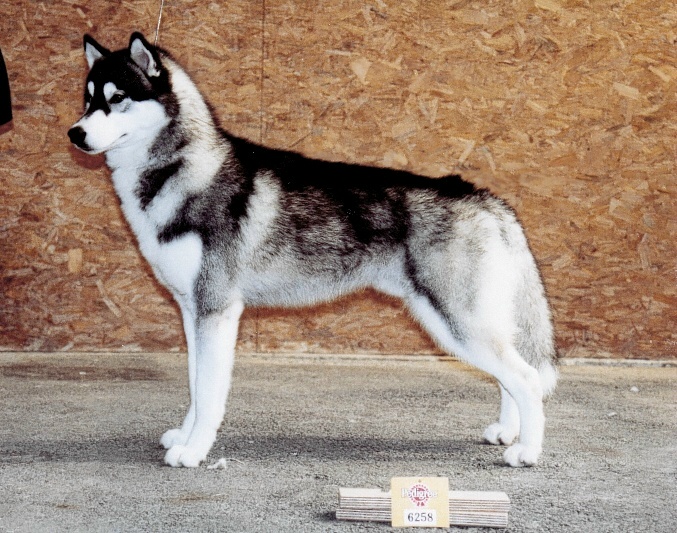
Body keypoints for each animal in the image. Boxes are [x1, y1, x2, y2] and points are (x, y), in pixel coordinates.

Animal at [68, 33, 556, 466]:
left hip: (455, 320)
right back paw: (507, 432)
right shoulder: (193, 311)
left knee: (528, 378)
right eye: (88, 99)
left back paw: (527, 452)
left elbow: (209, 394)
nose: (75, 133)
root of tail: (483, 196)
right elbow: (194, 386)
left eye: (117, 98)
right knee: (511, 376)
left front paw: (194, 452)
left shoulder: (217, 311)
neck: (184, 170)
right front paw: (185, 438)